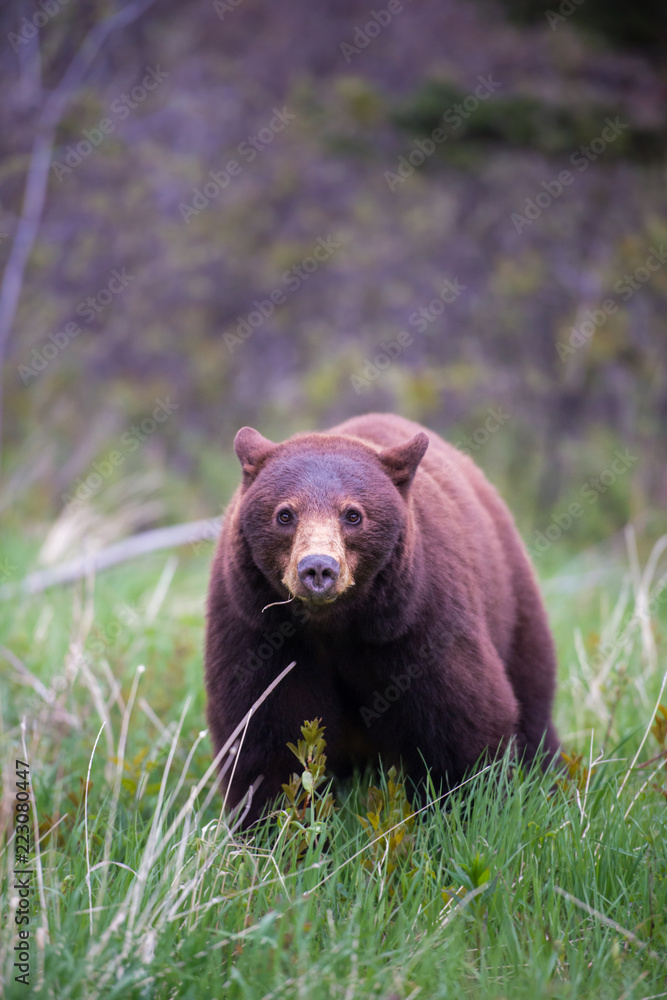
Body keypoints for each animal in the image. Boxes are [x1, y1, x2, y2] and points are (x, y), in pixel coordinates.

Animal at [205, 412, 559, 825]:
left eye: (353, 514)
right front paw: (272, 827)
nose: (318, 568)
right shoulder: (257, 628)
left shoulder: (419, 622)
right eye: (285, 514)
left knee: (533, 701)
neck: (333, 624)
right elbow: (267, 736)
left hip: (514, 604)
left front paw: (465, 814)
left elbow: (462, 723)